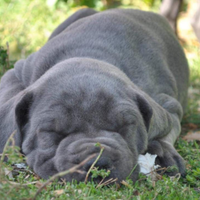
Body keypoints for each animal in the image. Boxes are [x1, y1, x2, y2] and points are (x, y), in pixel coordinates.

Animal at [0, 8, 189, 183]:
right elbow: (9, 94)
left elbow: (168, 129)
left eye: (126, 126)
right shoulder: (18, 71)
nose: (97, 162)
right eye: (51, 131)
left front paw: (163, 152)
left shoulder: (168, 104)